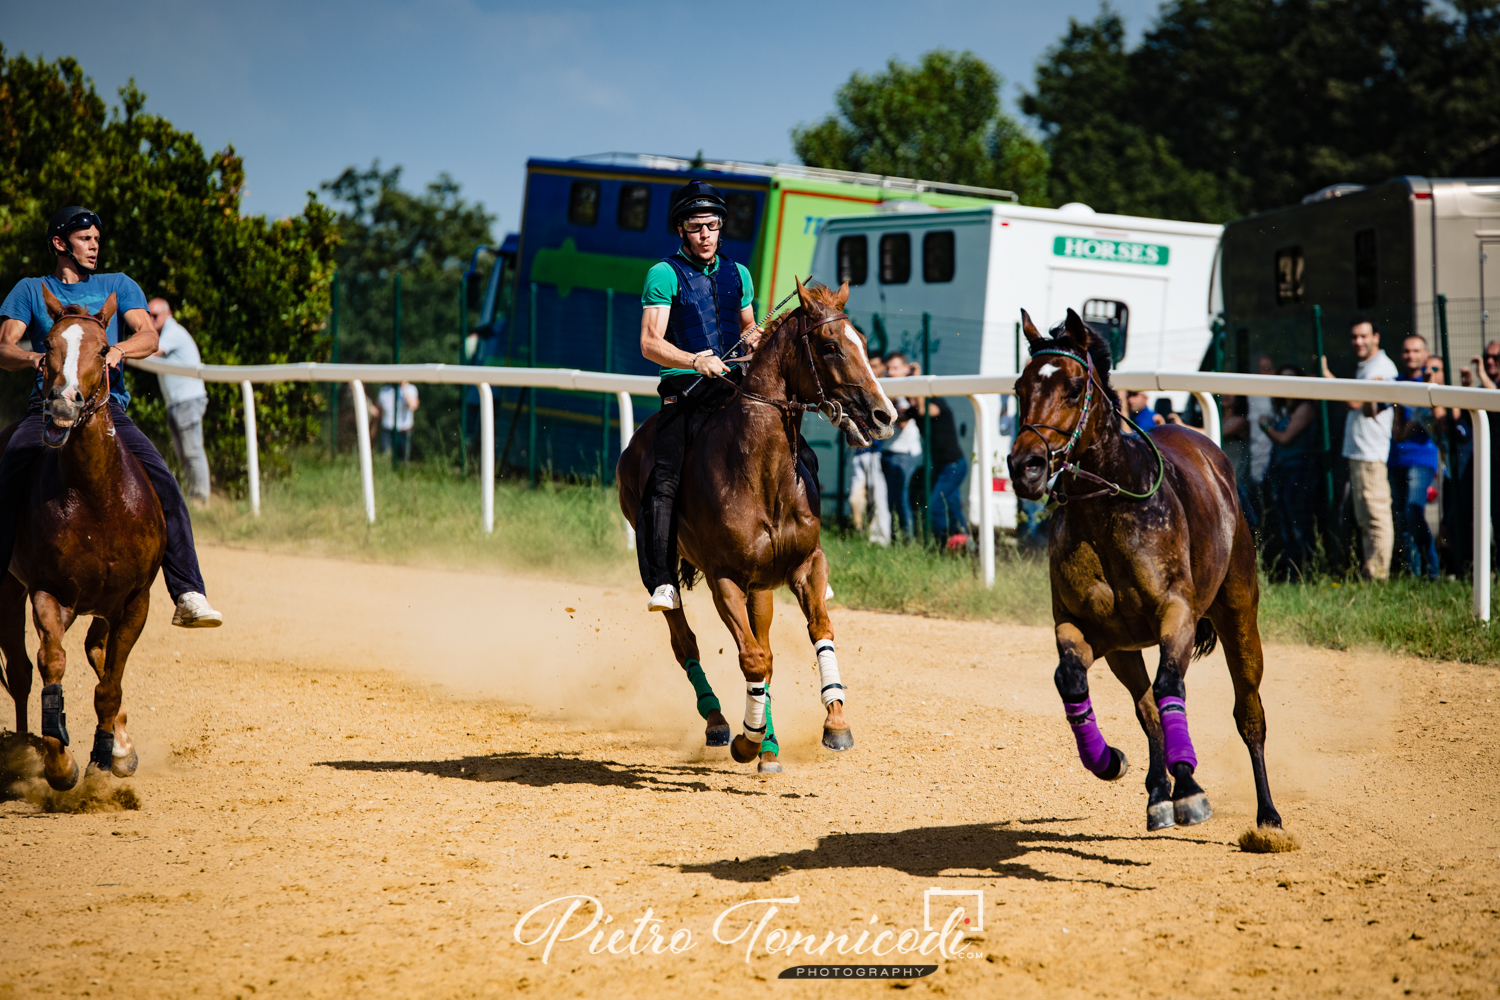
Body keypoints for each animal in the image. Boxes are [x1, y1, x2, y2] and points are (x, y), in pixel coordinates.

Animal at [0, 289, 167, 791]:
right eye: (47, 345)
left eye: (102, 348)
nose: (62, 404)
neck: (97, 498)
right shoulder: (48, 593)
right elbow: (51, 663)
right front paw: (60, 763)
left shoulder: (133, 601)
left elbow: (109, 684)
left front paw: (106, 757)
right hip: (9, 590)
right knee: (21, 670)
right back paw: (23, 749)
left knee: (97, 653)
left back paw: (120, 747)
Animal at [618, 280, 894, 773]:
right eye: (829, 346)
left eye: (862, 341)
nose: (885, 415)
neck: (761, 473)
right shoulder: (724, 578)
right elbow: (750, 658)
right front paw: (745, 740)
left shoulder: (805, 564)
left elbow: (818, 631)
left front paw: (835, 723)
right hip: (660, 553)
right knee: (687, 641)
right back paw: (721, 722)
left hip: (761, 586)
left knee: (764, 645)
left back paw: (769, 742)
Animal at [1002, 308, 1284, 833]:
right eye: (1018, 386)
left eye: (1074, 387)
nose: (1025, 465)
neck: (1107, 509)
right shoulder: (1086, 627)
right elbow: (1072, 680)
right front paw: (1110, 760)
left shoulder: (1178, 614)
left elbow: (1172, 686)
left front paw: (1189, 788)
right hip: (1124, 650)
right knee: (1146, 705)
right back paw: (1157, 793)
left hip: (1238, 610)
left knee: (1248, 710)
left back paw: (1268, 815)